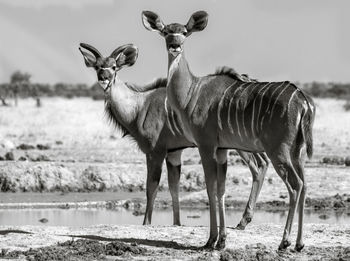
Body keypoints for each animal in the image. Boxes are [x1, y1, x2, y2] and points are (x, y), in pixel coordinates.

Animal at [79, 42, 270, 228]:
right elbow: (173, 187)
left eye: (114, 67)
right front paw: (177, 223)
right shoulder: (173, 153)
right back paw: (243, 220)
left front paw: (146, 223)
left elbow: (151, 187)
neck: (139, 106)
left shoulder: (155, 152)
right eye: (97, 67)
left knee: (258, 165)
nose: (103, 79)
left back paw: (243, 221)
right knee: (263, 163)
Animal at [141, 10, 316, 250]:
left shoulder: (206, 145)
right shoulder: (222, 149)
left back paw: (285, 242)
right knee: (305, 184)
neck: (191, 92)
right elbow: (221, 190)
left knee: (295, 185)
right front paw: (222, 240)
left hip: (278, 151)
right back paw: (299, 243)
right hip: (297, 152)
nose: (175, 45)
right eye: (166, 31)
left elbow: (210, 188)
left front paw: (210, 240)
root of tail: (302, 100)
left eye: (184, 32)